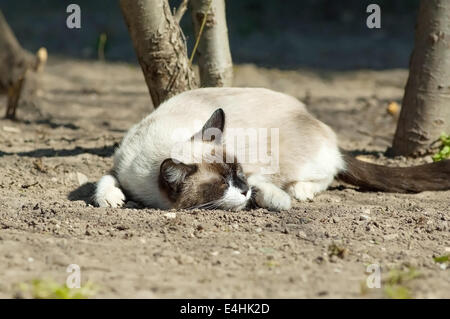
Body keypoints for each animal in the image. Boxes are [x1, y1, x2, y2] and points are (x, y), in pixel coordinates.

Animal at [95, 87, 450, 212]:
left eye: (238, 173)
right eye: (221, 184)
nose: (243, 189)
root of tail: (312, 117)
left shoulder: (257, 172)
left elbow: (265, 190)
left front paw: (274, 200)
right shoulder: (122, 169)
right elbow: (104, 180)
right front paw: (112, 200)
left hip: (296, 159)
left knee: (330, 171)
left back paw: (300, 191)